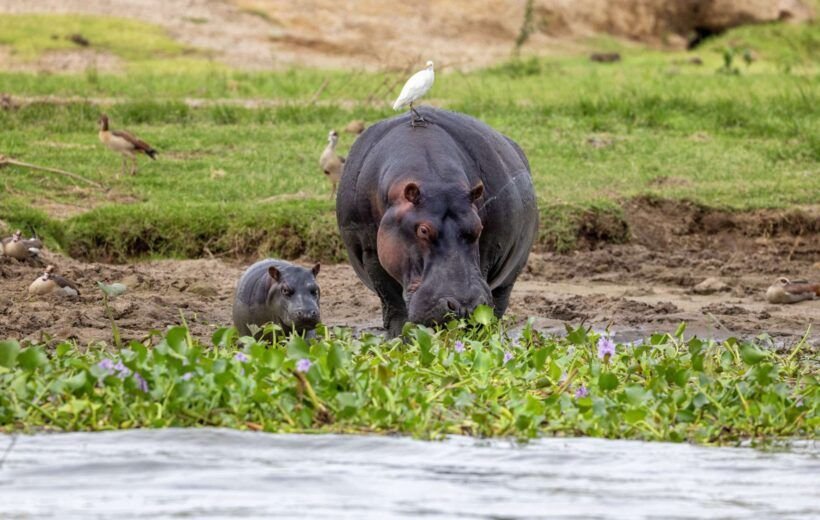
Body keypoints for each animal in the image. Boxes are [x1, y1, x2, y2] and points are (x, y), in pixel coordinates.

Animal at [334, 107, 540, 336]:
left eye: (478, 227)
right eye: (423, 230)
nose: (463, 306)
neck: (435, 179)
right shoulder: (370, 249)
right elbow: (393, 304)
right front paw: (400, 337)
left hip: (510, 274)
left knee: (499, 302)